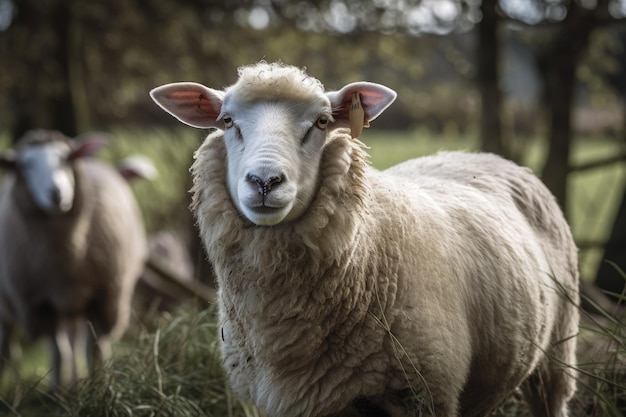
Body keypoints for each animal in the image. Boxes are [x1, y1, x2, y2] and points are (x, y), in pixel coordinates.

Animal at [0, 129, 147, 386]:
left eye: (66, 158)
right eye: (25, 165)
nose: (56, 193)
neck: (65, 256)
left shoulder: (104, 298)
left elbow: (94, 349)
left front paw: (99, 383)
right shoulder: (41, 305)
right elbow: (59, 352)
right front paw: (58, 389)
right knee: (11, 343)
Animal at [149, 61, 576, 416]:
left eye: (322, 122)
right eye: (227, 121)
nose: (264, 181)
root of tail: (479, 154)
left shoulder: (427, 393)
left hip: (556, 356)